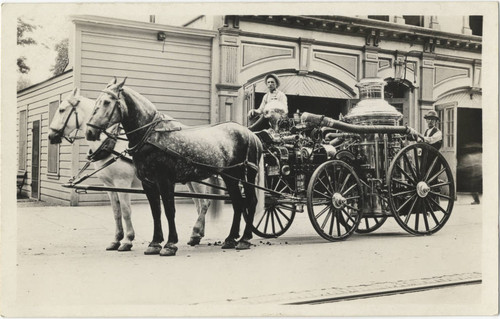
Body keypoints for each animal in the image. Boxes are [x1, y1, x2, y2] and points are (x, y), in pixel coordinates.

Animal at [47, 87, 216, 252]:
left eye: (61, 110)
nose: (50, 136)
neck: (110, 144)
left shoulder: (122, 182)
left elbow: (126, 211)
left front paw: (128, 240)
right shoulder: (109, 185)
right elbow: (116, 212)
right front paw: (116, 240)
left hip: (198, 180)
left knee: (205, 203)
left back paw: (196, 232)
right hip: (190, 179)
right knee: (198, 203)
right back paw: (197, 235)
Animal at [86, 78, 264, 258]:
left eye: (107, 102)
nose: (89, 131)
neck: (151, 135)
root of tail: (250, 133)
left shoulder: (165, 180)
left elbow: (169, 210)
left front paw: (170, 244)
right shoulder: (148, 183)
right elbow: (156, 212)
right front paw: (155, 242)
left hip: (246, 174)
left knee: (250, 200)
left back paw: (244, 238)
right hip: (230, 176)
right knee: (237, 202)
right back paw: (230, 238)